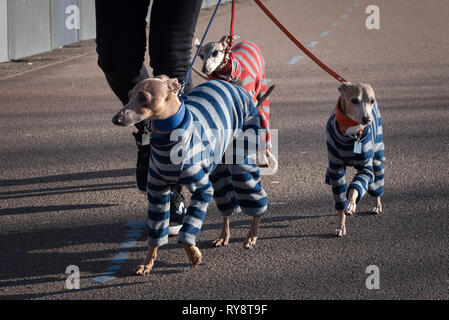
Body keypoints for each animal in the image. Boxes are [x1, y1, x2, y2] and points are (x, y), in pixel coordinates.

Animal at [111, 75, 268, 276]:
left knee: (255, 199)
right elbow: (156, 233)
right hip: (217, 171)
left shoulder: (202, 189)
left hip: (242, 161)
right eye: (129, 95)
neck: (168, 140)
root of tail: (233, 85)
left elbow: (187, 232)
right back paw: (223, 236)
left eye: (144, 97)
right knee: (227, 205)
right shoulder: (156, 192)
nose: (115, 119)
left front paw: (193, 256)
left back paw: (251, 236)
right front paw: (147, 263)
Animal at [324, 82, 384, 238]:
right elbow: (340, 199)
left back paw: (377, 204)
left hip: (377, 155)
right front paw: (341, 226)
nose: (367, 120)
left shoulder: (366, 169)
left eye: (372, 101)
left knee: (377, 181)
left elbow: (354, 189)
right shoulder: (336, 169)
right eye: (354, 100)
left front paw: (351, 204)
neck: (352, 135)